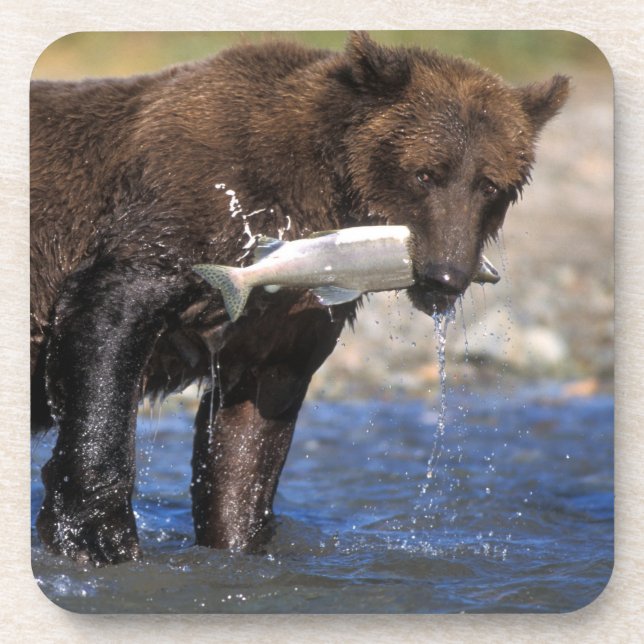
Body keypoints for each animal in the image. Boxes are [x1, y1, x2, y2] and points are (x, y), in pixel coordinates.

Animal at [30, 32, 569, 565]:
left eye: (490, 185)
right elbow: (109, 324)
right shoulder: (184, 211)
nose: (446, 274)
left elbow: (249, 437)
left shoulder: (284, 321)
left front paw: (237, 538)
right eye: (425, 174)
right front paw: (97, 535)